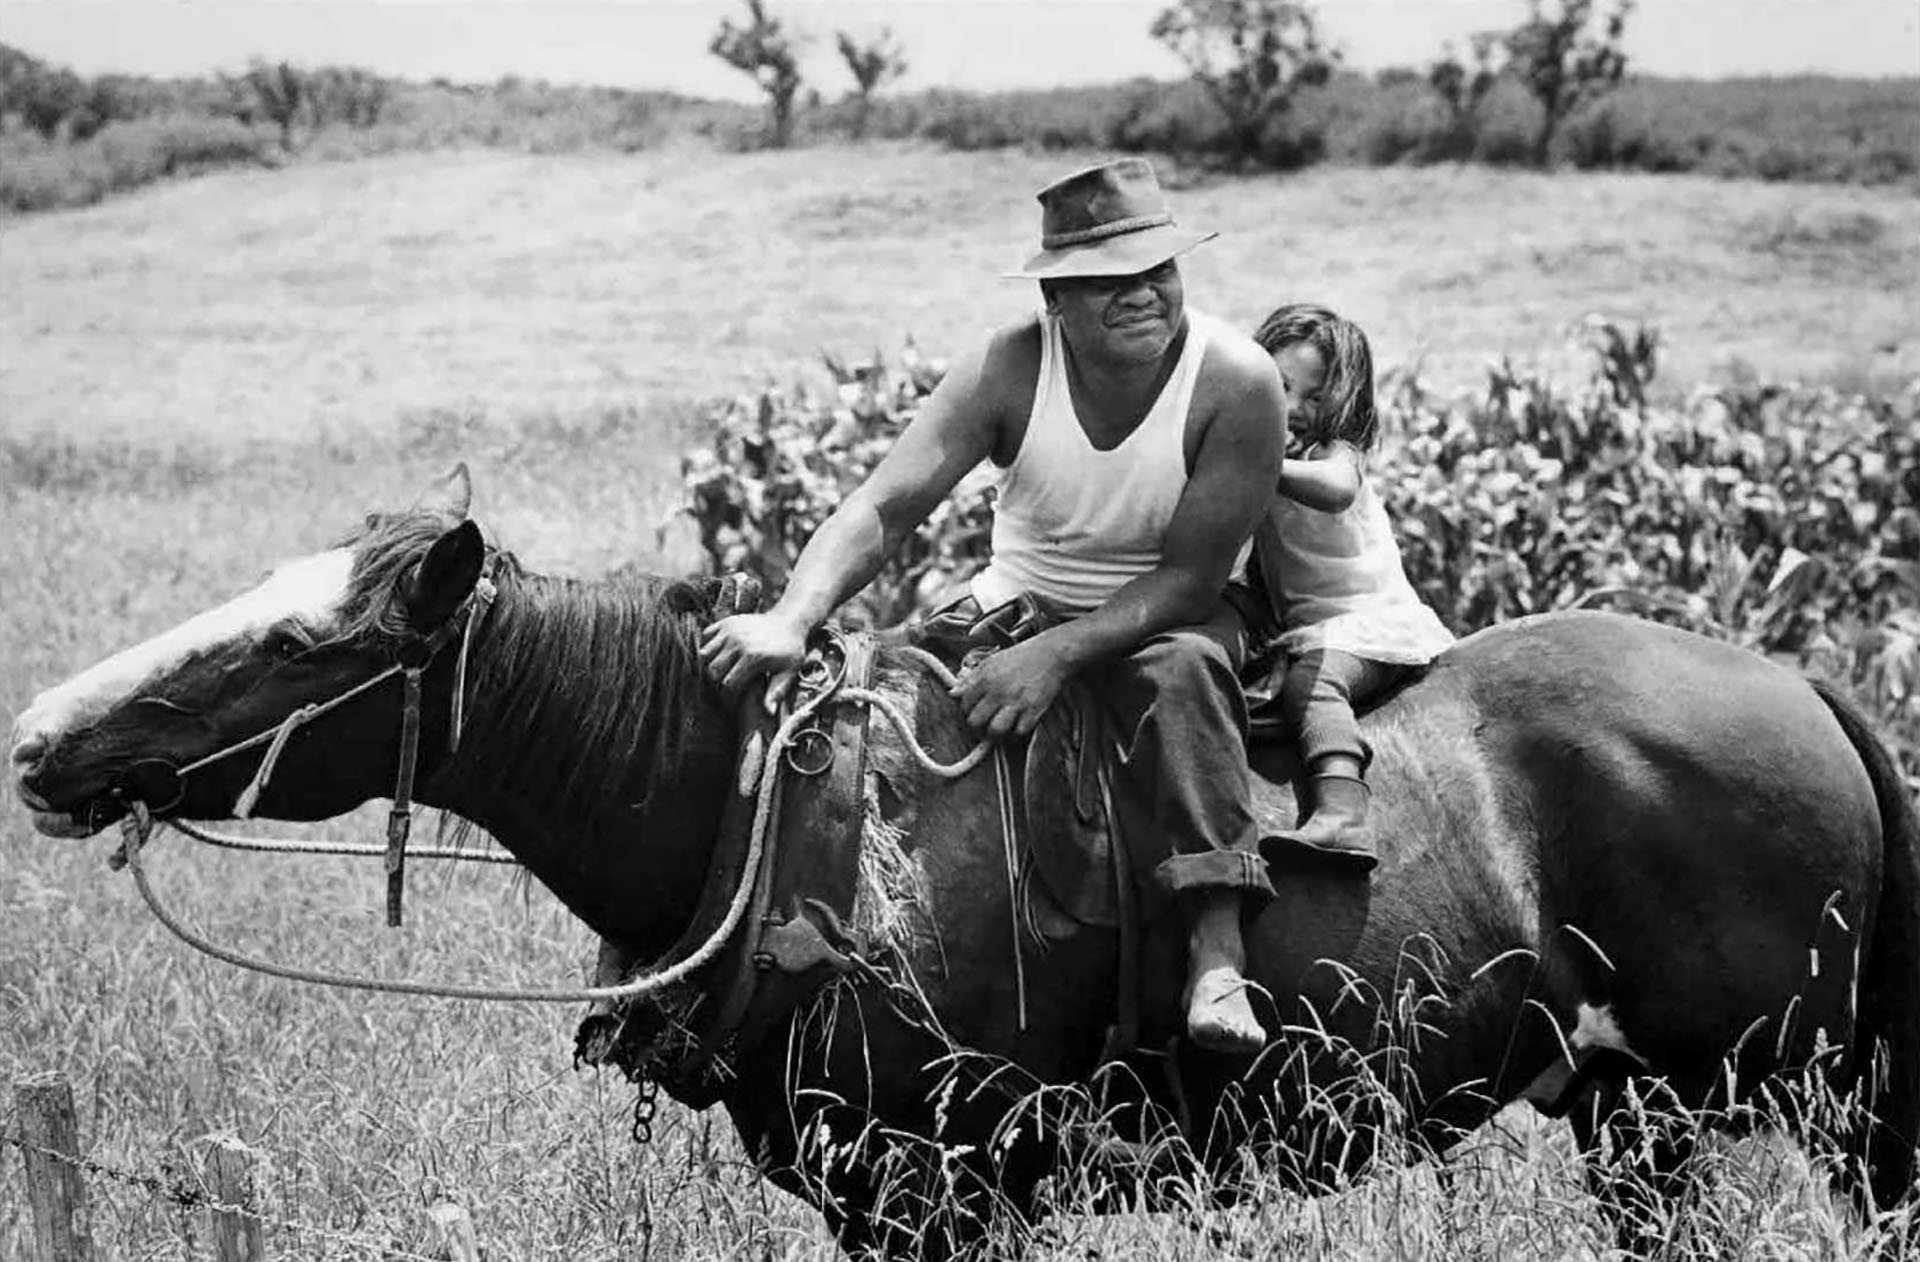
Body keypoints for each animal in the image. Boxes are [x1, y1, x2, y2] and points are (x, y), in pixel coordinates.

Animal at [15, 466, 1920, 1252]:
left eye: (297, 648)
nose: (42, 738)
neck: (772, 825)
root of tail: (1798, 684)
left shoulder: (941, 1196)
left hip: (1732, 1102)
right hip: (1646, 1122)